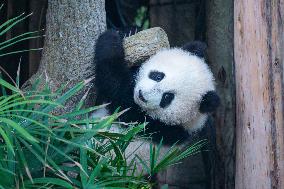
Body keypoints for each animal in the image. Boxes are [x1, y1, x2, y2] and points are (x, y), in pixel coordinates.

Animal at [93, 30, 220, 186]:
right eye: (158, 76)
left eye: (167, 97)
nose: (142, 95)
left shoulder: (151, 124)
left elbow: (116, 87)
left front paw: (110, 40)